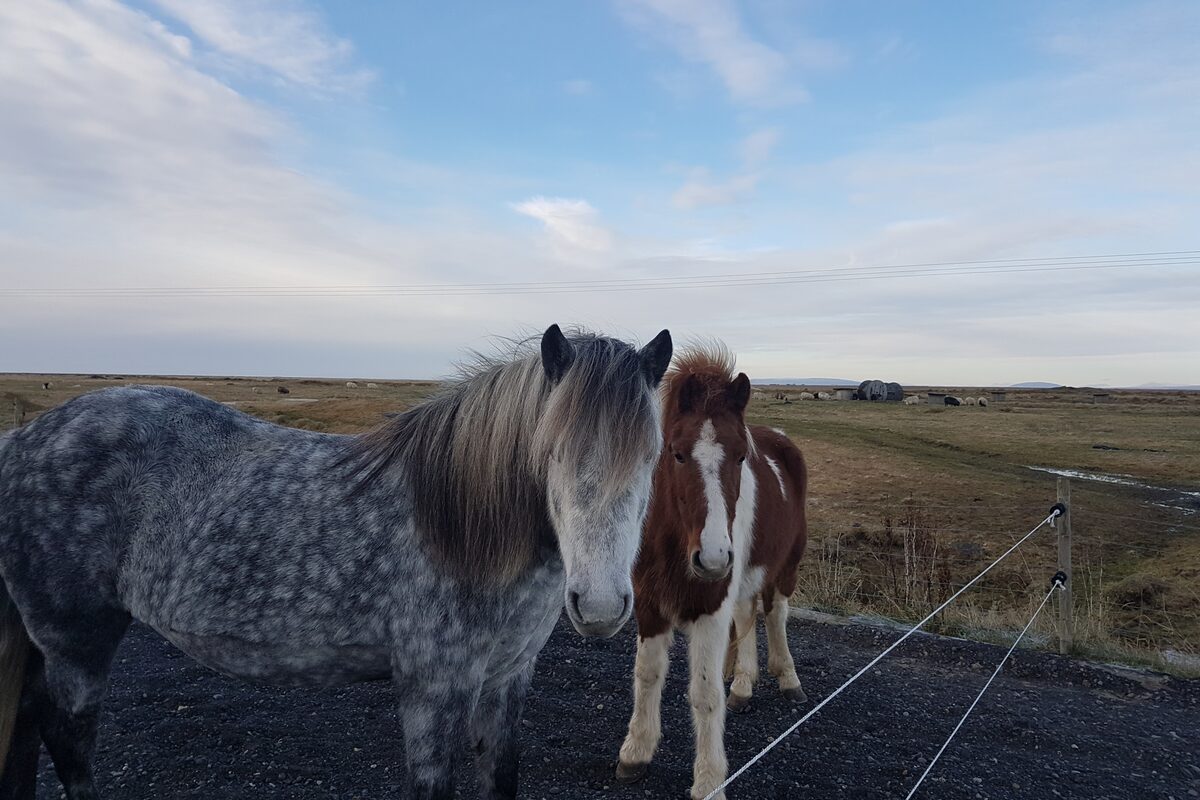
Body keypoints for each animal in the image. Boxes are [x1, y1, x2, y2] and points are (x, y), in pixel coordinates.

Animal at [0, 324, 672, 800]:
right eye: (550, 451)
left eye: (651, 456)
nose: (600, 605)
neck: (460, 523)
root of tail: (25, 438)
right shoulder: (433, 689)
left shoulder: (507, 681)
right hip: (76, 640)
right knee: (65, 737)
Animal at [615, 346, 808, 800]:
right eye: (676, 452)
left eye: (740, 456)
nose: (715, 557)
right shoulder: (649, 603)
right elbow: (647, 673)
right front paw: (636, 751)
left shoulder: (710, 607)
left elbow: (704, 693)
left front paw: (709, 782)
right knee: (748, 613)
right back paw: (743, 684)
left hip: (785, 566)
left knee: (775, 614)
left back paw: (787, 677)